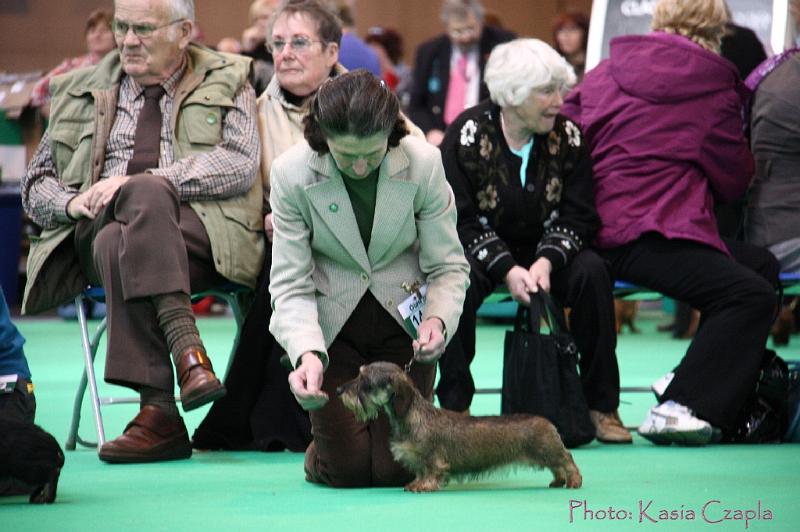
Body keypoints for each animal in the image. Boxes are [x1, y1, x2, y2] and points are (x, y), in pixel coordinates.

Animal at [336, 360, 580, 492]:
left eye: (366, 382)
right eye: (358, 375)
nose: (338, 390)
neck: (413, 415)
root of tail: (547, 422)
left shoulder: (432, 458)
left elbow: (431, 471)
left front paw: (424, 486)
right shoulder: (417, 458)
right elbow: (420, 471)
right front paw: (415, 483)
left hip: (549, 451)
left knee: (567, 460)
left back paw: (574, 480)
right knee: (558, 466)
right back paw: (558, 481)